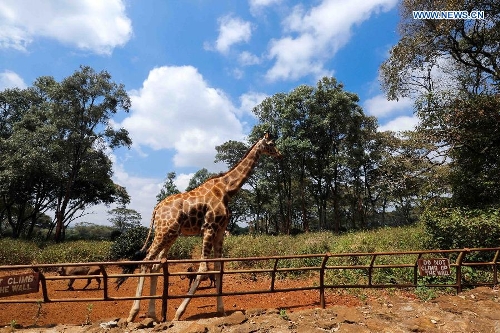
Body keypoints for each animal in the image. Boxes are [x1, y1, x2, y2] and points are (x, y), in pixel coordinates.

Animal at [117, 133, 282, 322]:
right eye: (271, 143)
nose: (280, 155)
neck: (227, 190)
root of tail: (156, 208)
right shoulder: (209, 227)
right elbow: (203, 269)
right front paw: (179, 313)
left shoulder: (220, 231)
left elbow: (218, 268)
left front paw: (221, 310)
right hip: (163, 231)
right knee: (146, 261)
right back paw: (133, 314)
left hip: (172, 233)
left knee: (155, 264)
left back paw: (152, 314)